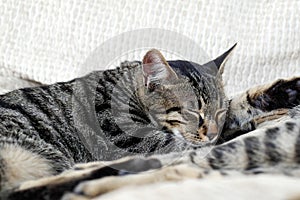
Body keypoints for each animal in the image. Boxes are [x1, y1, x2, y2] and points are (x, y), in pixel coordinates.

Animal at [0, 45, 298, 200]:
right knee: (21, 191)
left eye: (219, 112)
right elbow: (211, 141)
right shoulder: (147, 142)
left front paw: (283, 92)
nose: (212, 132)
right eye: (193, 112)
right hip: (30, 153)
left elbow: (239, 107)